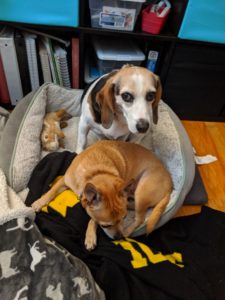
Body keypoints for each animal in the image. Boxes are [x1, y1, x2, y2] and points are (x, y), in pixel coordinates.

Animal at [31, 141, 172, 251]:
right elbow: (52, 190)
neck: (95, 172)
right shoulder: (64, 181)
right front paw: (39, 202)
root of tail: (171, 186)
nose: (119, 237)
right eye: (106, 226)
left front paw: (90, 237)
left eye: (124, 218)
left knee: (140, 219)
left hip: (141, 193)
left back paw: (128, 231)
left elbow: (92, 220)